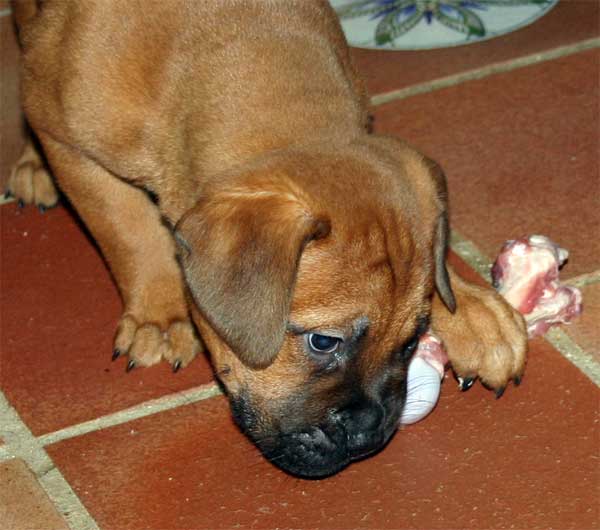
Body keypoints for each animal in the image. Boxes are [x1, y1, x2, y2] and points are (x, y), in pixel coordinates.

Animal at [8, 0, 524, 476]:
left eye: (413, 338)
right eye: (322, 341)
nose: (367, 434)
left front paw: (470, 308)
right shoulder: (70, 145)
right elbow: (128, 230)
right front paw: (160, 314)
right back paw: (32, 166)